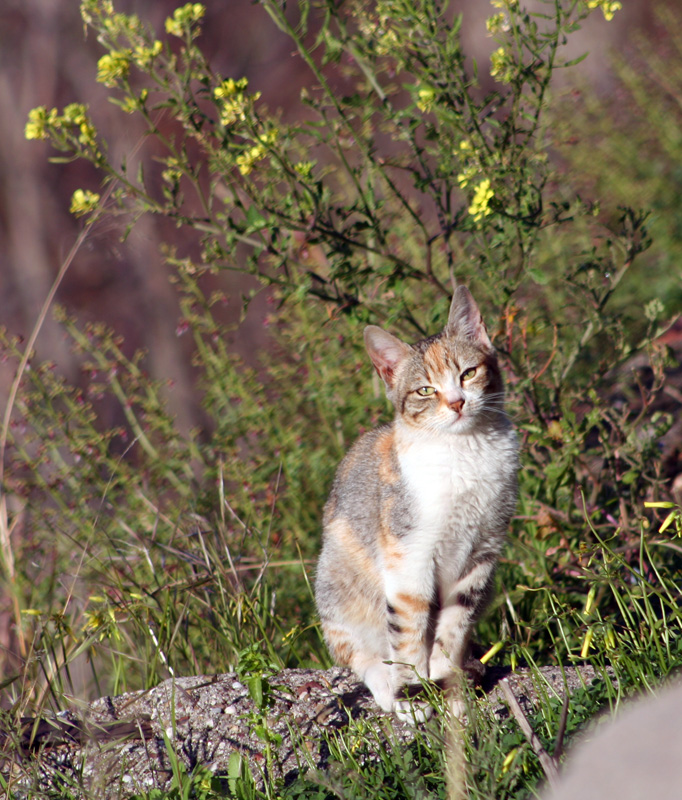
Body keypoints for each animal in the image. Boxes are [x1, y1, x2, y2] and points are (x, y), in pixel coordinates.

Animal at [315, 286, 518, 720]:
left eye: (468, 373)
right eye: (425, 390)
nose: (457, 402)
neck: (464, 451)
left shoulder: (484, 551)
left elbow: (455, 620)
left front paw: (445, 679)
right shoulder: (408, 553)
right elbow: (408, 626)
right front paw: (413, 693)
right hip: (336, 578)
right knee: (358, 652)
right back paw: (385, 683)